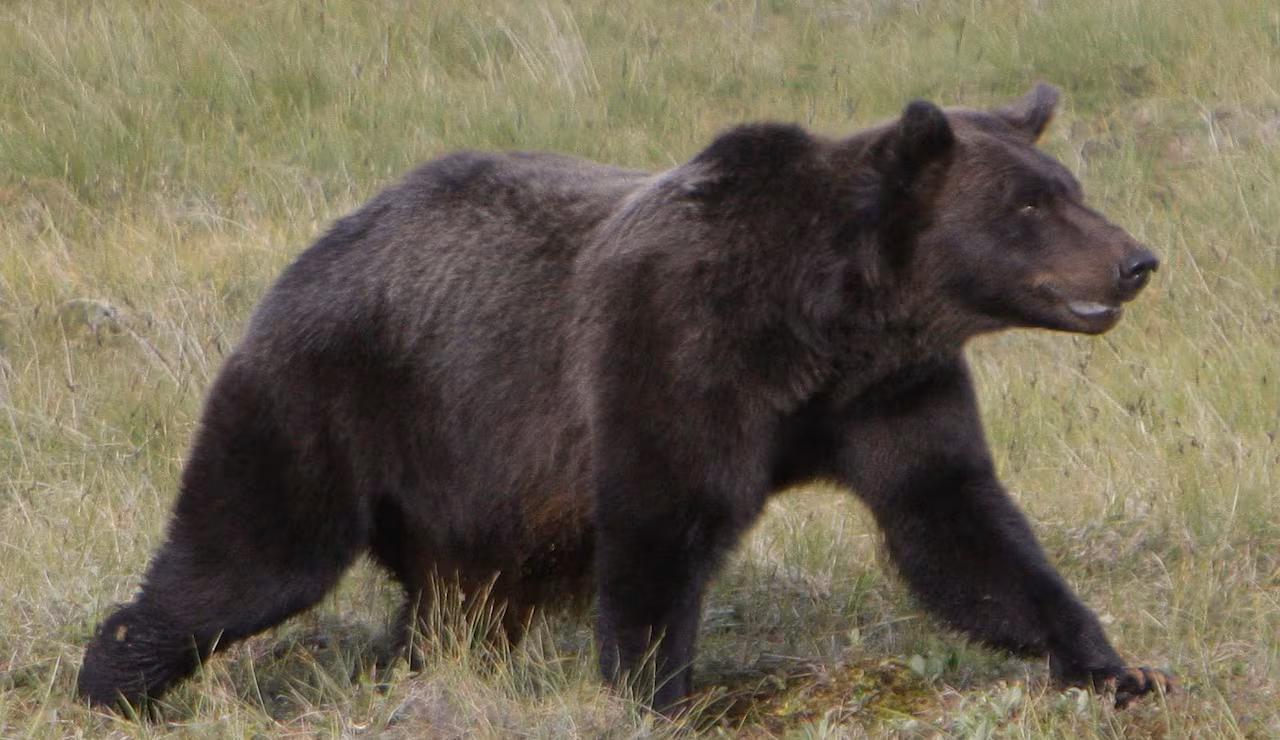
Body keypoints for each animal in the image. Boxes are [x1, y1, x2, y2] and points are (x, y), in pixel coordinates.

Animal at [79, 83, 1173, 714]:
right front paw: (660, 696)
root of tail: (310, 251)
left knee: (456, 607)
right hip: (336, 397)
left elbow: (957, 524)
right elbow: (662, 523)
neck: (827, 319)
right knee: (251, 553)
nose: (1135, 260)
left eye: (1067, 185)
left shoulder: (889, 392)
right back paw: (116, 681)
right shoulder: (676, 348)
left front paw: (1114, 664)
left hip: (475, 491)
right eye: (1029, 205)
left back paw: (412, 672)